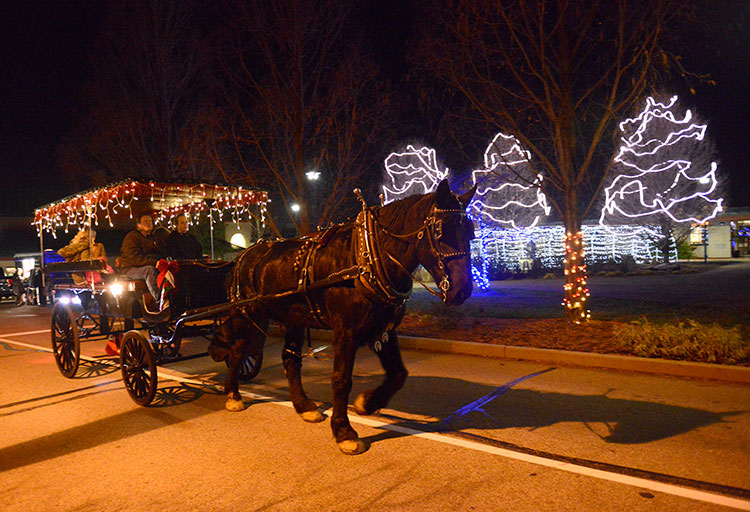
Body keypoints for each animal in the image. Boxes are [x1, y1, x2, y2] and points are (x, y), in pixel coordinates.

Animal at [212, 182, 476, 454]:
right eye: (441, 232)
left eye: (470, 232)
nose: (463, 290)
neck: (366, 256)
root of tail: (244, 256)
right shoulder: (346, 331)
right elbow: (341, 379)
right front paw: (344, 431)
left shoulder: (383, 329)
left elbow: (398, 374)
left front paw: (366, 403)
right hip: (248, 315)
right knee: (238, 352)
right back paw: (233, 395)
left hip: (294, 319)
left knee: (290, 358)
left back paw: (303, 406)